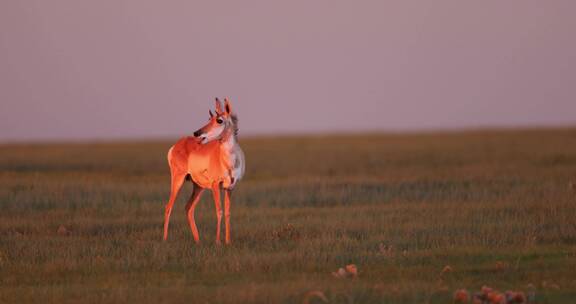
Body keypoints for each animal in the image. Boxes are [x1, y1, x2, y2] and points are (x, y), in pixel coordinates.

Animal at [162, 97, 245, 245]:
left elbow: (228, 212)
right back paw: (165, 239)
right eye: (209, 118)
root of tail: (177, 144)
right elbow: (219, 211)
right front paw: (218, 241)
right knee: (168, 206)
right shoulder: (215, 185)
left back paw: (198, 240)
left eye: (219, 120)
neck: (228, 161)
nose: (197, 133)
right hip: (178, 180)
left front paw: (228, 241)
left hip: (198, 187)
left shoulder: (230, 187)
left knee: (189, 208)